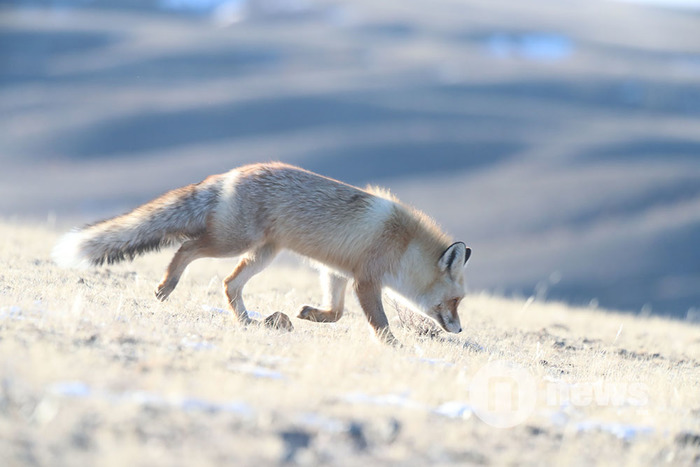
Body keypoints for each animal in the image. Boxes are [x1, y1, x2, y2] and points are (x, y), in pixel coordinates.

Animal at [52, 163, 470, 346]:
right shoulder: (366, 281)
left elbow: (335, 313)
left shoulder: (337, 271)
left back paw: (248, 321)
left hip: (262, 254)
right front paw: (394, 347)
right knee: (186, 247)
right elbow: (379, 324)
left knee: (228, 284)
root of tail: (230, 173)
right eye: (455, 302)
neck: (402, 243)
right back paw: (168, 284)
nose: (460, 329)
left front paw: (311, 315)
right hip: (232, 242)